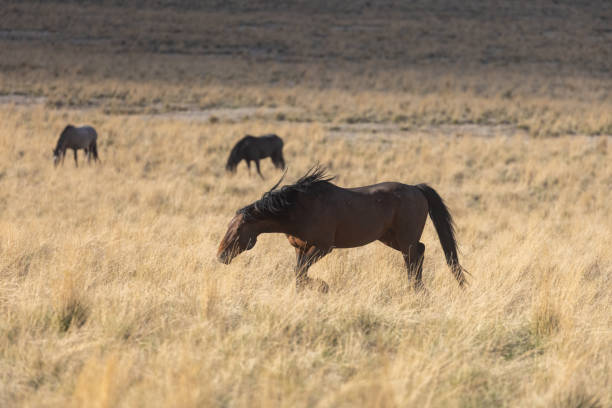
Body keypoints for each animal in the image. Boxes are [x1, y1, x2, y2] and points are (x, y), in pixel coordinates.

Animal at [218, 167, 466, 294]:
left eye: (238, 229)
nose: (220, 255)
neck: (299, 207)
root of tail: (416, 189)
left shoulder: (323, 247)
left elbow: (301, 272)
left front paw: (323, 286)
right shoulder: (300, 248)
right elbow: (299, 273)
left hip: (405, 239)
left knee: (414, 257)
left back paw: (416, 289)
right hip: (390, 238)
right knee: (419, 254)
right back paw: (417, 289)